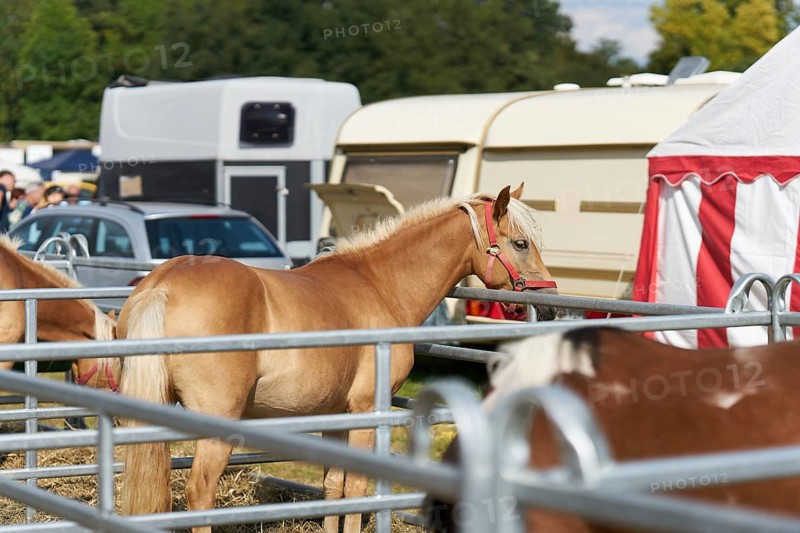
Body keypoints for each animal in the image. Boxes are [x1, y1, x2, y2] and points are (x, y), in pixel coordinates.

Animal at [116, 184, 558, 533]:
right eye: (520, 243)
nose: (551, 305)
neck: (381, 285)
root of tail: (161, 285)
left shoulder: (336, 414)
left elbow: (333, 488)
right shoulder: (366, 410)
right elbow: (357, 489)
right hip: (215, 425)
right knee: (201, 492)